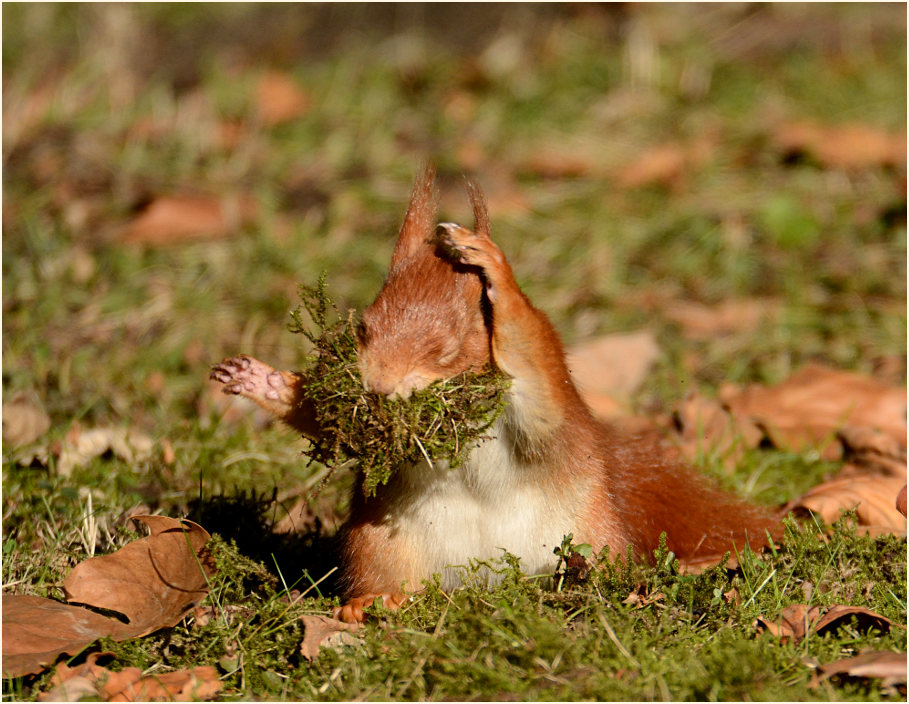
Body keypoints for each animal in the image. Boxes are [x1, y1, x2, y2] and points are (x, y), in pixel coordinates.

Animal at [210, 164, 779, 623]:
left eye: (444, 348)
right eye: (364, 328)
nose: (379, 388)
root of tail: (482, 584)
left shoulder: (542, 400)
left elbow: (535, 364)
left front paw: (495, 269)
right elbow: (328, 420)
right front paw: (262, 381)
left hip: (590, 537)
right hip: (380, 545)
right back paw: (375, 602)